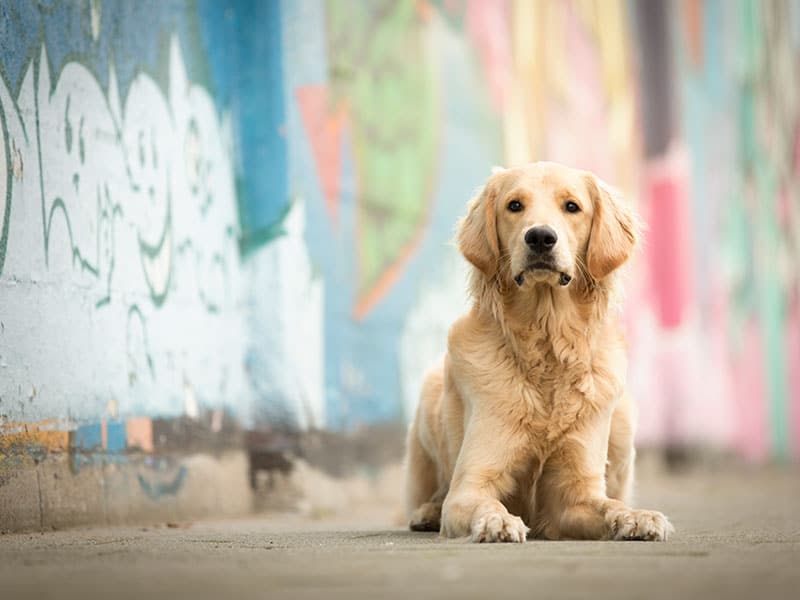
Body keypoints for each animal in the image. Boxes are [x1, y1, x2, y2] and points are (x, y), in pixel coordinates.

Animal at [404, 162, 672, 540]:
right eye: (514, 205)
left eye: (572, 206)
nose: (541, 237)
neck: (546, 343)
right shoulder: (470, 484)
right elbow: (483, 502)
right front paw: (498, 520)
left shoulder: (575, 494)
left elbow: (610, 505)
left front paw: (637, 517)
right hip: (431, 391)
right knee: (436, 492)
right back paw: (426, 512)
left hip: (622, 418)